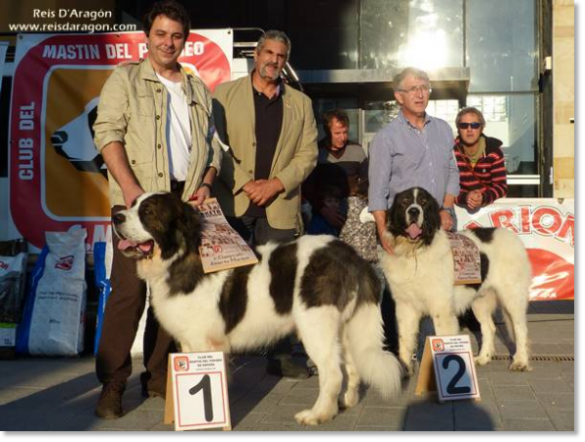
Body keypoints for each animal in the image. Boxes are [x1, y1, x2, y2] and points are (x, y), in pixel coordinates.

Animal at [112, 192, 402, 426]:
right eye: (132, 204)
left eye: (148, 212)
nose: (115, 216)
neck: (181, 255)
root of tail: (350, 255)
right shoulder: (188, 341)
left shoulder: (204, 341)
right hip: (343, 327)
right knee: (351, 365)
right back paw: (346, 401)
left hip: (316, 326)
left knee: (332, 372)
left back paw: (317, 414)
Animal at [376, 186, 532, 372]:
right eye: (405, 202)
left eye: (423, 202)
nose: (414, 211)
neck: (415, 251)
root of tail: (512, 236)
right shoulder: (405, 307)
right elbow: (405, 340)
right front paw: (406, 369)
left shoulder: (441, 308)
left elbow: (443, 338)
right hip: (480, 300)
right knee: (489, 327)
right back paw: (483, 357)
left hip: (512, 296)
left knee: (520, 328)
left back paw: (521, 361)